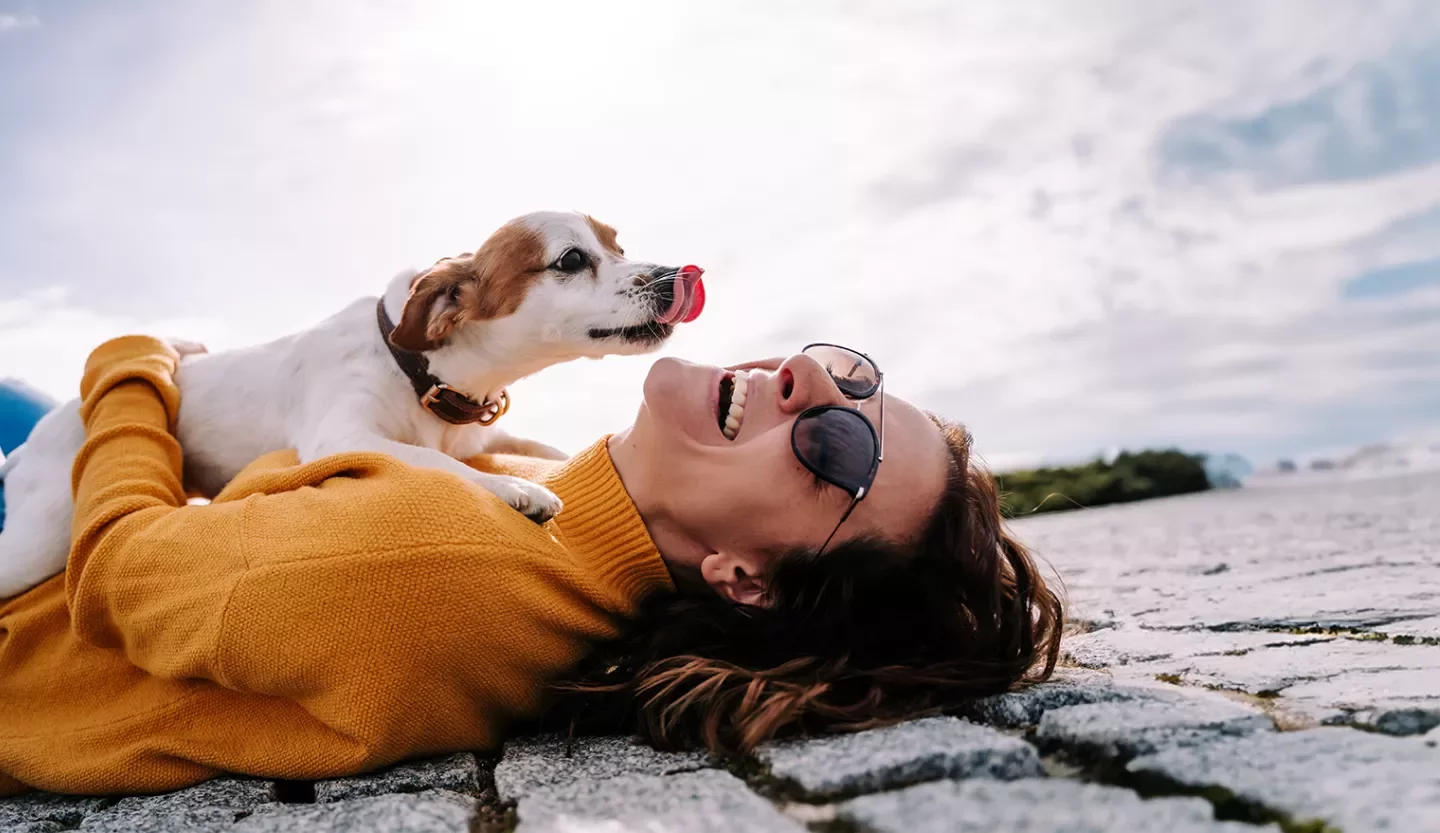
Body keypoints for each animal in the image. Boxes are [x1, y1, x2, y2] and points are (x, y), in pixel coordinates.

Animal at [0, 208, 702, 596]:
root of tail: (35, 439)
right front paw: (516, 490)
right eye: (571, 259)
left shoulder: (486, 433)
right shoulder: (344, 436)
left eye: (618, 246)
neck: (424, 374)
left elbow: (536, 446)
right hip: (40, 538)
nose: (676, 275)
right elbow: (438, 464)